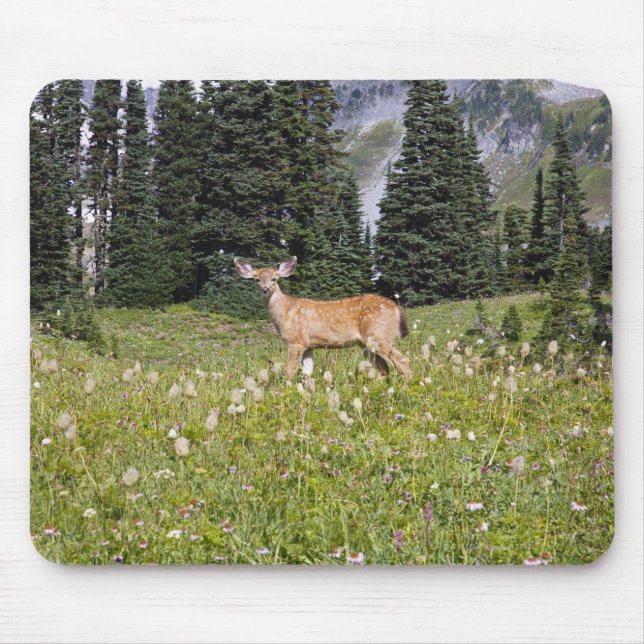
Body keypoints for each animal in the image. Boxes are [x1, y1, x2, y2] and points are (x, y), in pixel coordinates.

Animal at [234, 256, 411, 381]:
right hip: (366, 343)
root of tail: (397, 309)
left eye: (274, 279)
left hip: (378, 335)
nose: (265, 289)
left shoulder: (296, 340)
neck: (286, 312)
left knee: (403, 361)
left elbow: (289, 371)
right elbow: (307, 374)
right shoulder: (309, 345)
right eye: (256, 279)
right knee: (385, 368)